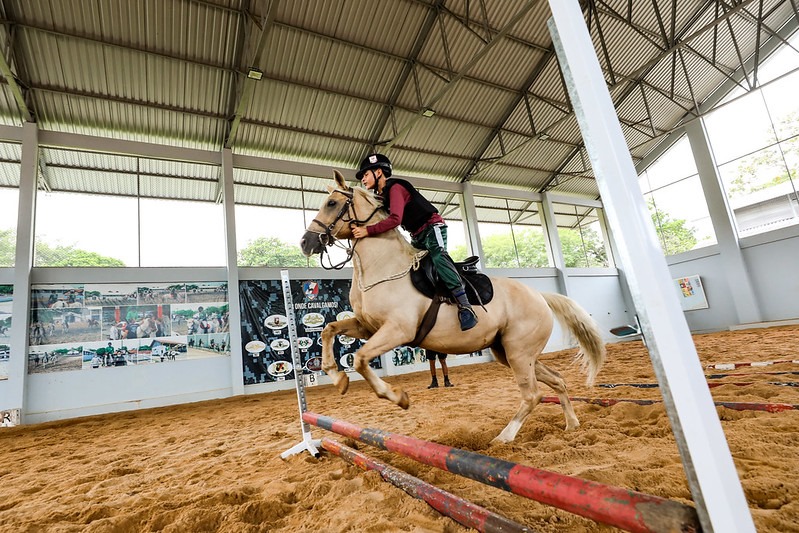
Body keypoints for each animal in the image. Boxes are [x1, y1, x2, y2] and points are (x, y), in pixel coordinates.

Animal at [300, 172, 608, 442]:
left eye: (331, 203)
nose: (306, 243)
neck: (381, 268)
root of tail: (540, 296)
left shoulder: (397, 330)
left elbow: (361, 358)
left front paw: (399, 398)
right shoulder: (367, 327)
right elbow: (329, 329)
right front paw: (336, 378)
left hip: (519, 353)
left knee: (532, 394)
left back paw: (503, 438)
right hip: (510, 353)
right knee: (557, 380)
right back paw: (571, 424)